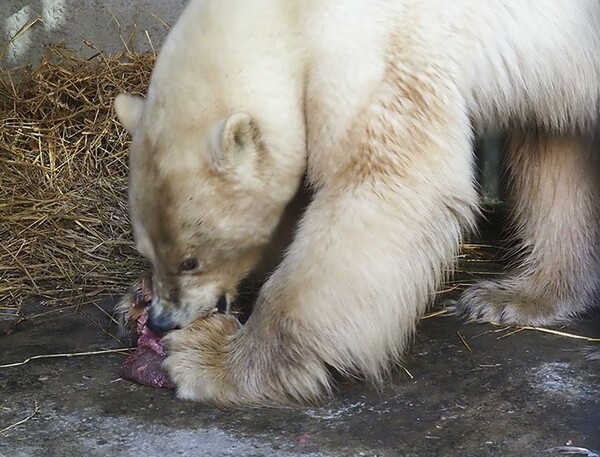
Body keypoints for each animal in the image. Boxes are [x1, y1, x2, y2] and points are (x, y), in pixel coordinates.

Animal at [116, 0, 600, 406]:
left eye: (191, 261)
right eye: (149, 251)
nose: (161, 322)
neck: (287, 14)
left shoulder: (373, 50)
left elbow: (385, 184)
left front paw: (210, 358)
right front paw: (136, 296)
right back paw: (518, 295)